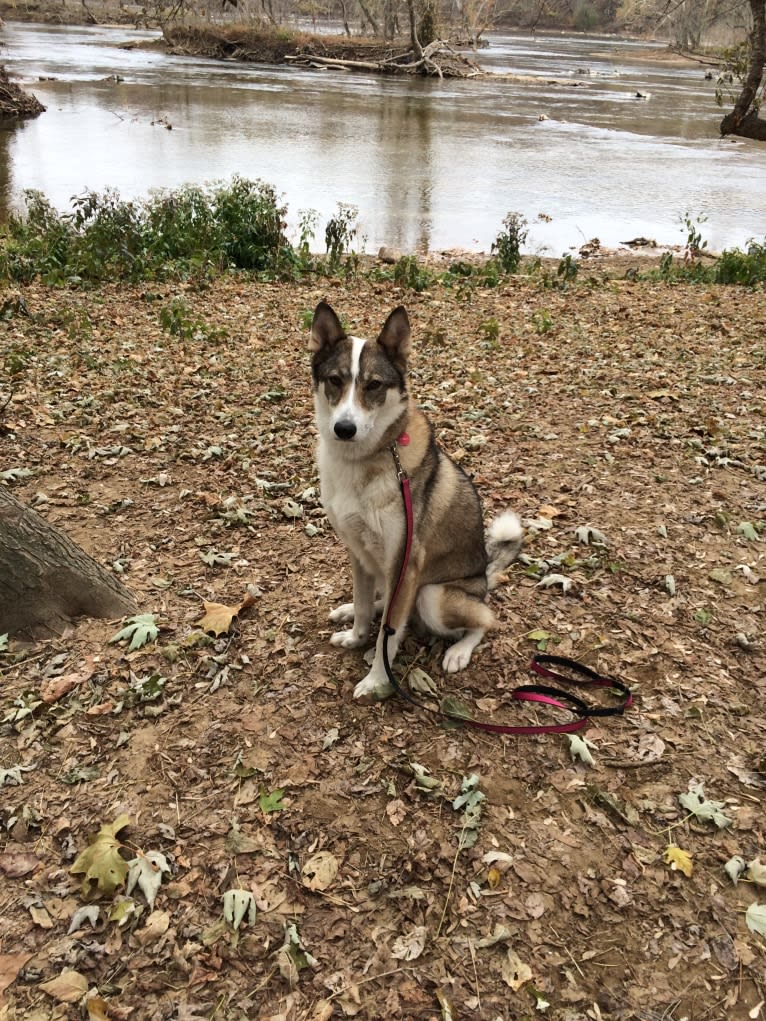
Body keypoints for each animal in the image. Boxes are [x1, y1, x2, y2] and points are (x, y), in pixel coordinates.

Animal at [308, 300, 527, 702]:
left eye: (374, 385)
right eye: (335, 380)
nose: (344, 429)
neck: (364, 461)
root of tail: (484, 579)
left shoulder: (406, 565)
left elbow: (388, 634)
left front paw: (377, 680)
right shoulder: (358, 552)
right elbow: (364, 608)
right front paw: (355, 634)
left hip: (433, 595)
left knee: (483, 621)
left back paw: (458, 651)